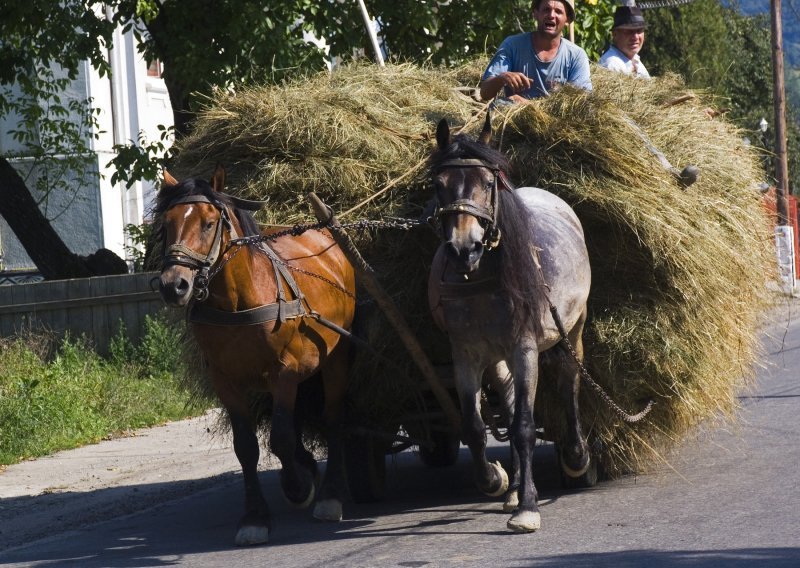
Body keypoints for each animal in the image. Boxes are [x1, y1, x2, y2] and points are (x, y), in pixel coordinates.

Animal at [156, 165, 356, 544]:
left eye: (208, 223)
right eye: (167, 223)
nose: (174, 285)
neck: (238, 300)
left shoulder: (285, 372)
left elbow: (280, 437)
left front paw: (297, 488)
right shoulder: (226, 381)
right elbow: (247, 446)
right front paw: (254, 517)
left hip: (336, 360)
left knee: (333, 418)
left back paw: (332, 495)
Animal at [428, 115, 592, 532]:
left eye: (489, 183)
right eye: (439, 185)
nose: (464, 249)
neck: (480, 276)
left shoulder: (525, 347)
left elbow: (523, 427)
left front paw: (529, 507)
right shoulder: (465, 355)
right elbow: (473, 426)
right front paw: (496, 480)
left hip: (572, 329)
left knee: (569, 381)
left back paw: (576, 456)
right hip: (498, 356)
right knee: (508, 395)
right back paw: (515, 486)